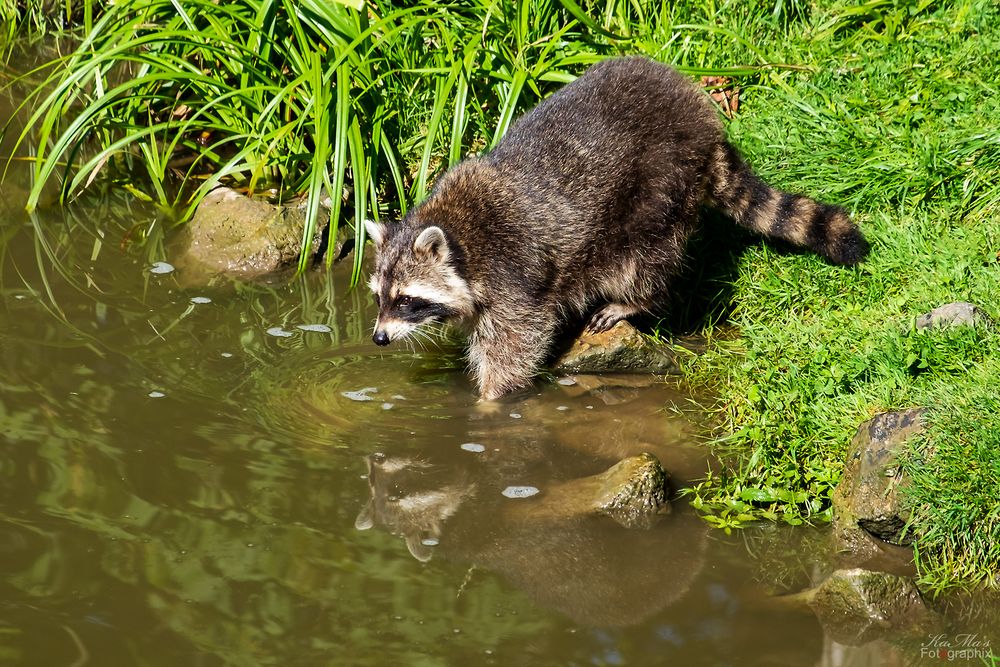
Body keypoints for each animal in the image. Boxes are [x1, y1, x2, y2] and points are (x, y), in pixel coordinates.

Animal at [366, 57, 868, 400]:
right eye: (379, 298)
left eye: (407, 299)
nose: (378, 338)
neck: (457, 232)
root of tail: (702, 114)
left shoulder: (513, 271)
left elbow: (516, 343)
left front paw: (490, 402)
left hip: (662, 182)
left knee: (647, 255)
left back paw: (636, 300)